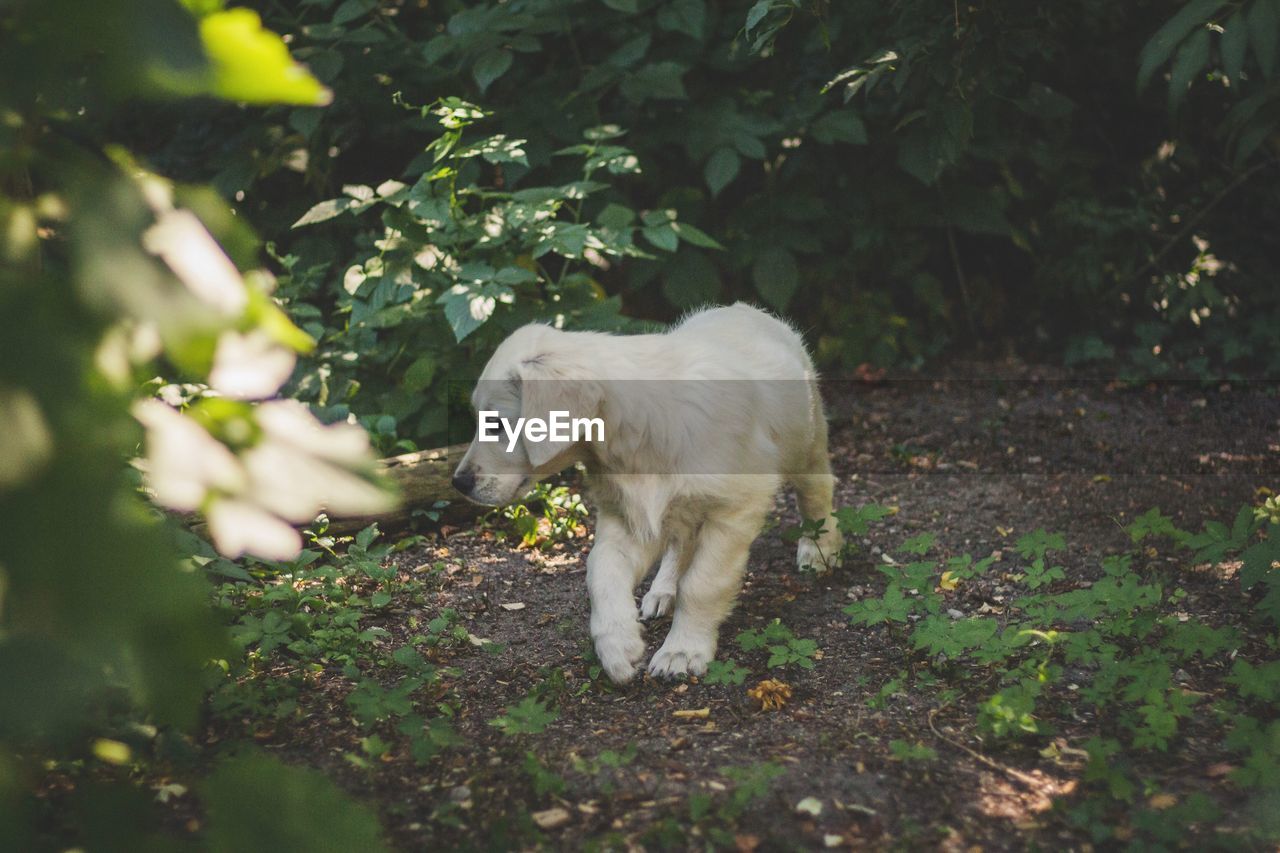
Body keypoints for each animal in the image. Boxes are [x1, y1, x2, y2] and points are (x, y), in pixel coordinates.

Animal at [450, 302, 839, 681]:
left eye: (496, 423)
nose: (459, 482)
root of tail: (745, 309)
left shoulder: (735, 507)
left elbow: (703, 583)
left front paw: (682, 651)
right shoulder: (629, 514)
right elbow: (601, 569)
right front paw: (617, 644)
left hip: (806, 443)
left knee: (817, 493)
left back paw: (819, 550)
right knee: (679, 546)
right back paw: (663, 591)